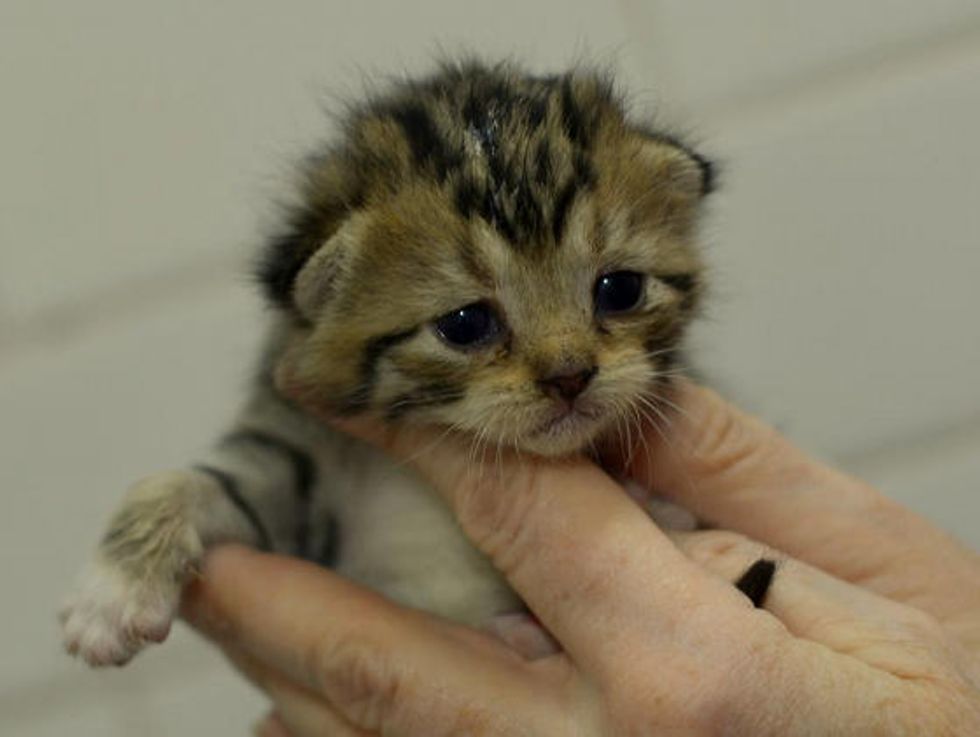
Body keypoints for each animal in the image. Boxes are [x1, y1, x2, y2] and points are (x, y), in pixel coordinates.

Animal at [59, 59, 712, 668]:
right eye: (466, 324)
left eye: (620, 289)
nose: (570, 377)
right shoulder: (299, 463)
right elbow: (187, 480)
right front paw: (111, 595)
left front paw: (656, 507)